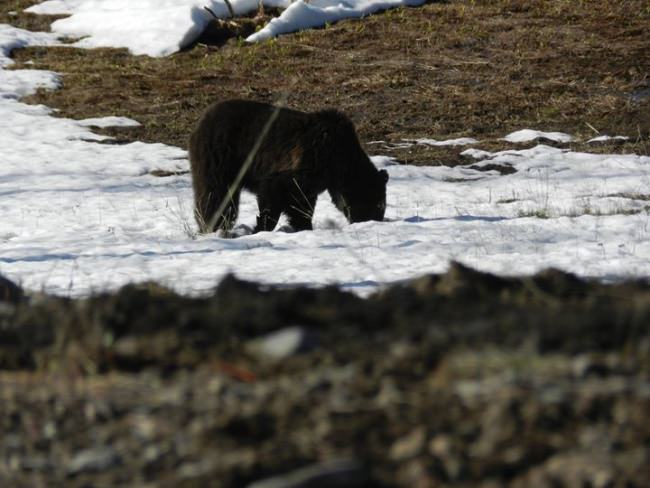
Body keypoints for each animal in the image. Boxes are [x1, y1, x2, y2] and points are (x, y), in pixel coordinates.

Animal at [188, 99, 388, 234]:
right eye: (378, 203)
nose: (374, 220)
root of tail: (202, 119)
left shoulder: (316, 178)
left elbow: (301, 203)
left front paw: (303, 225)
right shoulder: (312, 158)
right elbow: (276, 189)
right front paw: (262, 227)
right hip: (221, 154)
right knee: (217, 194)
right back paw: (215, 225)